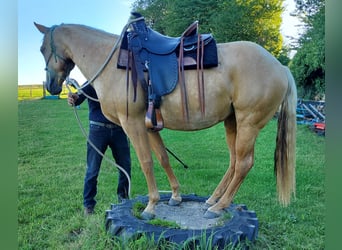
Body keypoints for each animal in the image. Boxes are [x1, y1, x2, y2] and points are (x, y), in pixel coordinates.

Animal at [34, 22, 296, 221]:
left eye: (42, 48)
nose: (51, 86)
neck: (113, 63)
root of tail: (281, 67)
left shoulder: (132, 124)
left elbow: (146, 162)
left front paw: (151, 206)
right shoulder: (149, 125)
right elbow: (162, 158)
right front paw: (175, 196)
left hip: (248, 123)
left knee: (243, 163)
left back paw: (217, 207)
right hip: (232, 122)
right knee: (233, 162)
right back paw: (213, 199)